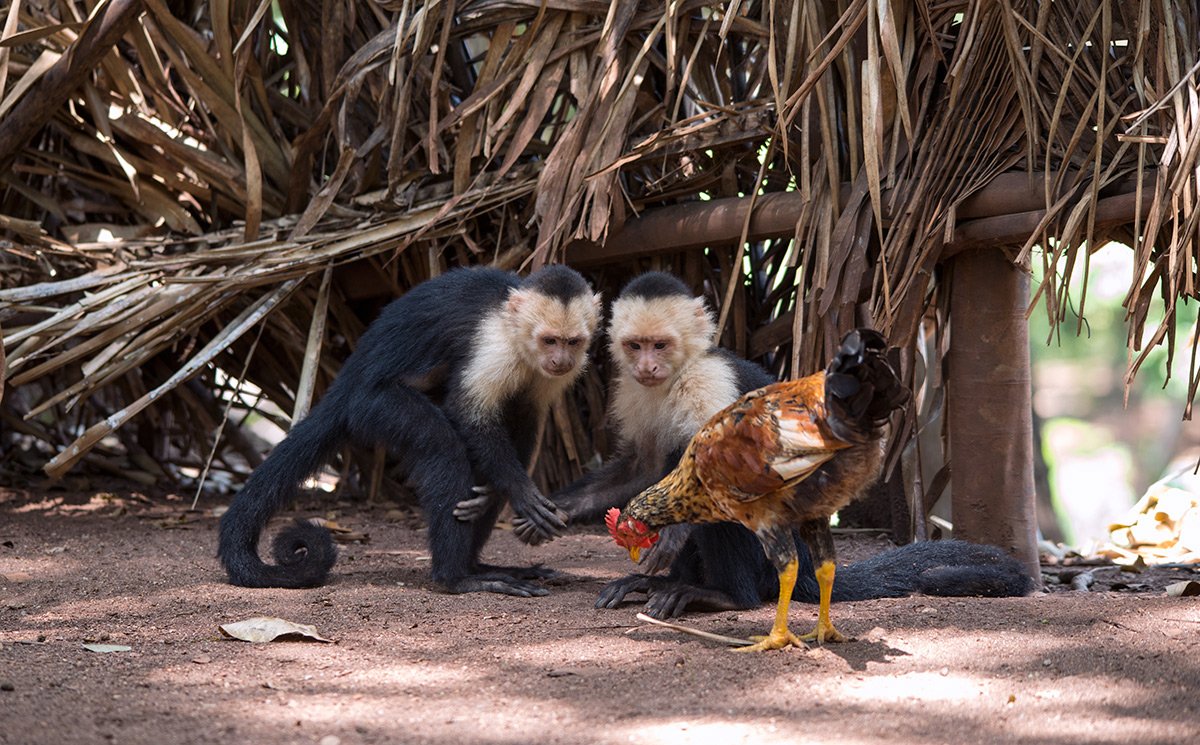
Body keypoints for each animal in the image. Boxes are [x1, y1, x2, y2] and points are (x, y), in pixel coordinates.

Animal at [218, 265, 601, 596]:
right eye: (549, 340)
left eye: (572, 342)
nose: (561, 360)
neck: (517, 335)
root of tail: (346, 383)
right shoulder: (494, 346)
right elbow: (467, 413)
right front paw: (521, 490)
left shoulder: (547, 374)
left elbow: (526, 416)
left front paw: (497, 489)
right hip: (373, 406)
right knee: (442, 446)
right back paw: (457, 578)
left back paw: (480, 566)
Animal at [538, 271, 1032, 617]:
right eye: (635, 345)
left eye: (660, 345)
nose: (647, 366)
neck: (676, 376)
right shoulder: (631, 390)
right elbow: (640, 465)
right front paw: (554, 509)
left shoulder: (710, 380)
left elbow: (728, 461)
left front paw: (675, 536)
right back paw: (661, 585)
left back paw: (724, 595)